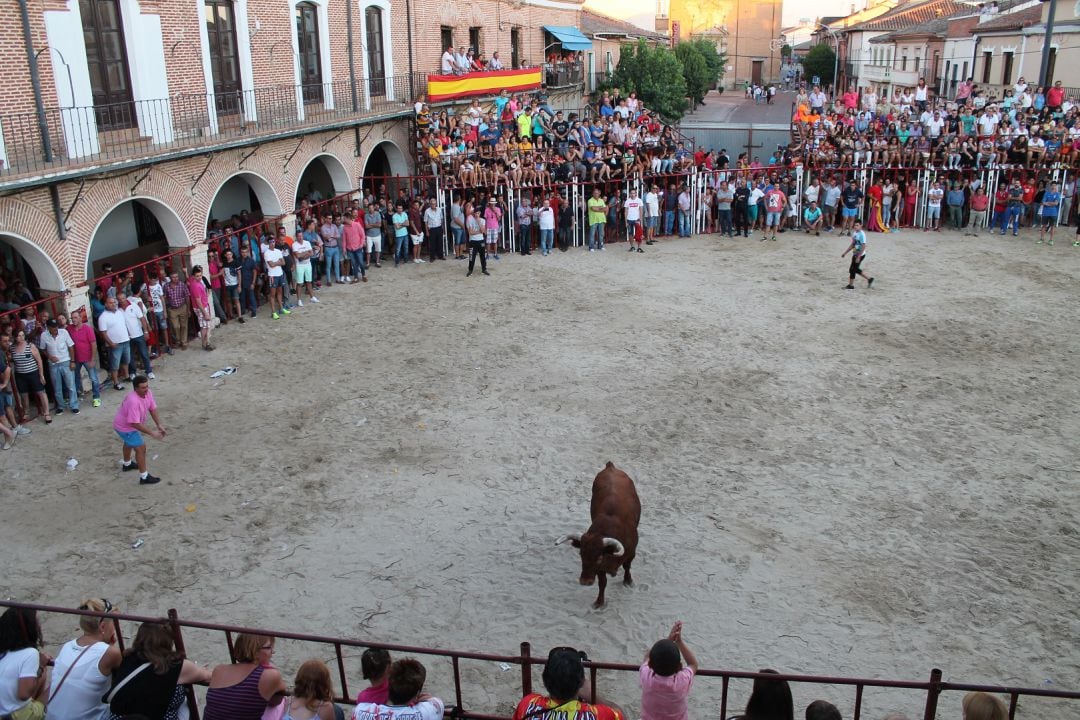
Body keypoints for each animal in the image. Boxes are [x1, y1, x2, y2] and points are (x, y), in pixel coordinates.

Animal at [557, 462, 639, 608]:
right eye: (581, 554)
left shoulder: (631, 553)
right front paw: (599, 602)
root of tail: (610, 466)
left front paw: (628, 581)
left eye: (599, 557)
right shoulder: (601, 570)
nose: (585, 581)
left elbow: (627, 567)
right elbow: (602, 583)